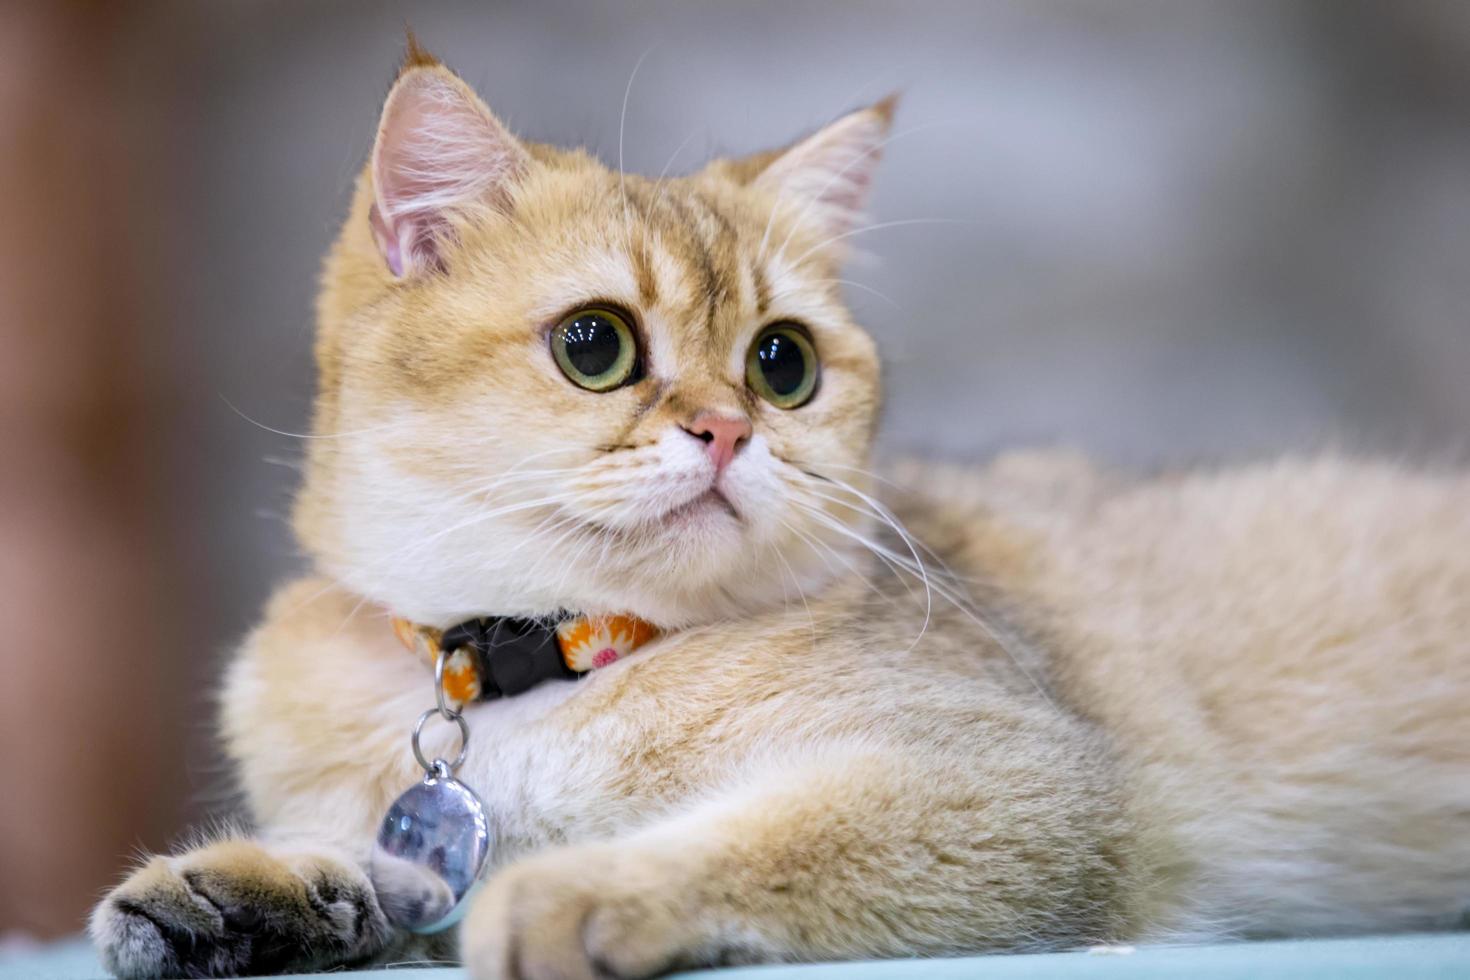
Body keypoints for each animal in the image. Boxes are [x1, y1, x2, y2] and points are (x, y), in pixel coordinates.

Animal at [94, 42, 1470, 975]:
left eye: (783, 362)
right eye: (594, 344)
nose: (727, 427)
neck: (545, 661)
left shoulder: (1020, 778)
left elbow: (764, 832)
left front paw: (582, 886)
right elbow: (398, 872)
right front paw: (256, 888)